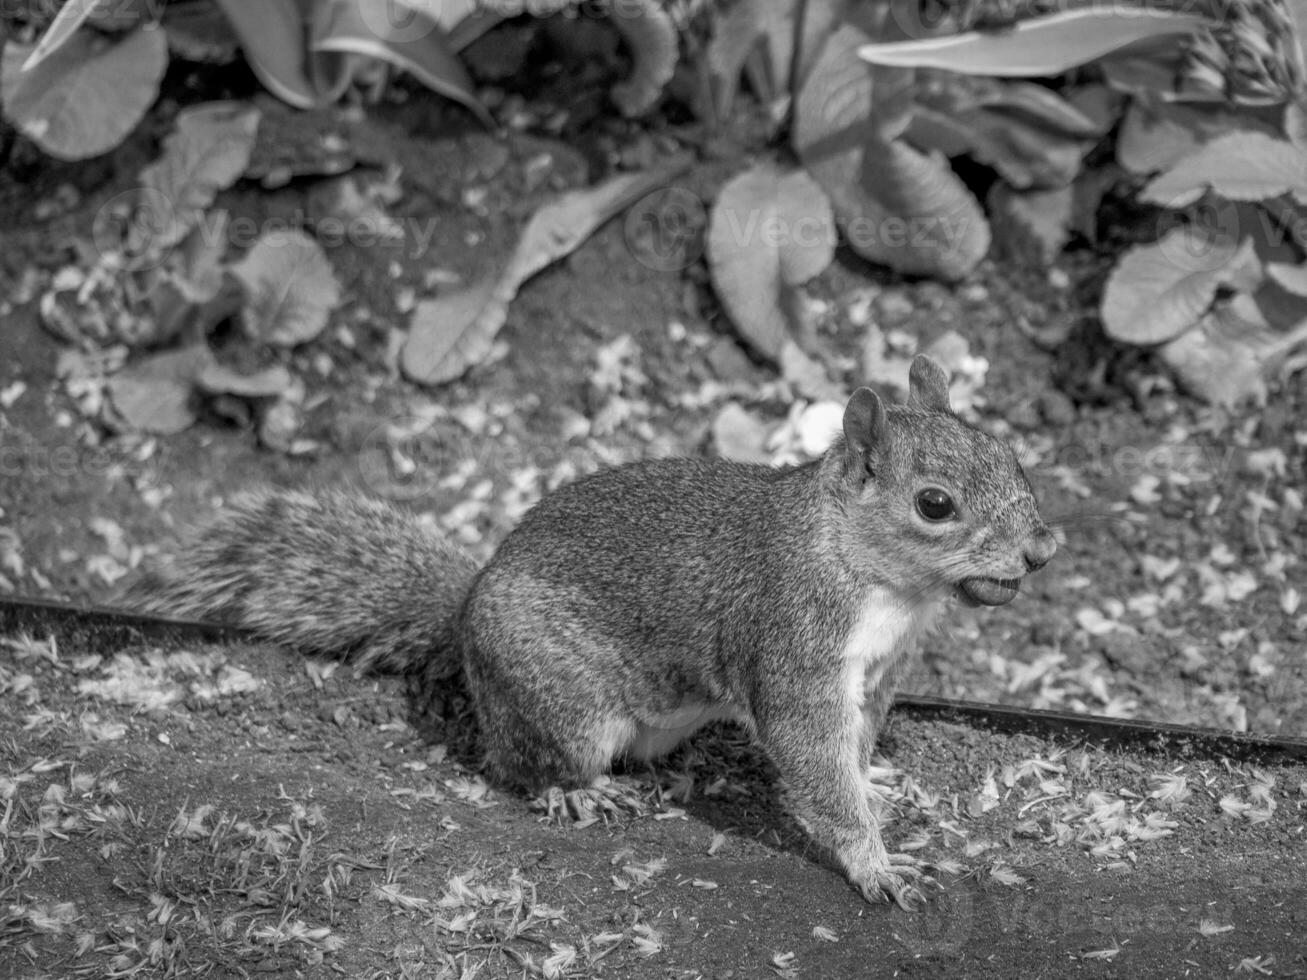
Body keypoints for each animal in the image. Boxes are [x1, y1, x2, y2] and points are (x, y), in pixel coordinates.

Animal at [130, 355, 1050, 914]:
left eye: (1012, 457)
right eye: (934, 504)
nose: (1041, 550)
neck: (881, 581)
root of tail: (465, 620)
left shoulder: (879, 671)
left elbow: (853, 750)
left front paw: (877, 785)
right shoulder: (795, 645)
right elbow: (812, 759)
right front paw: (874, 864)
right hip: (561, 702)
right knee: (517, 764)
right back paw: (574, 792)